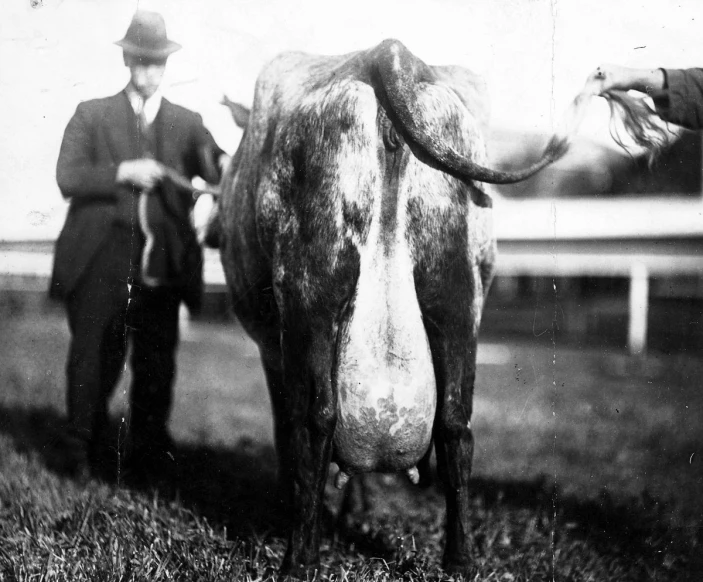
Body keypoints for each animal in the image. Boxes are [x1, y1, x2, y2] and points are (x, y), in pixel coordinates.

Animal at [217, 40, 568, 580]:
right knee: (454, 423)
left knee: (315, 419)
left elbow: (288, 428)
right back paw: (460, 559)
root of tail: (387, 54)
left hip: (310, 287)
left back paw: (300, 558)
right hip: (455, 289)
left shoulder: (272, 347)